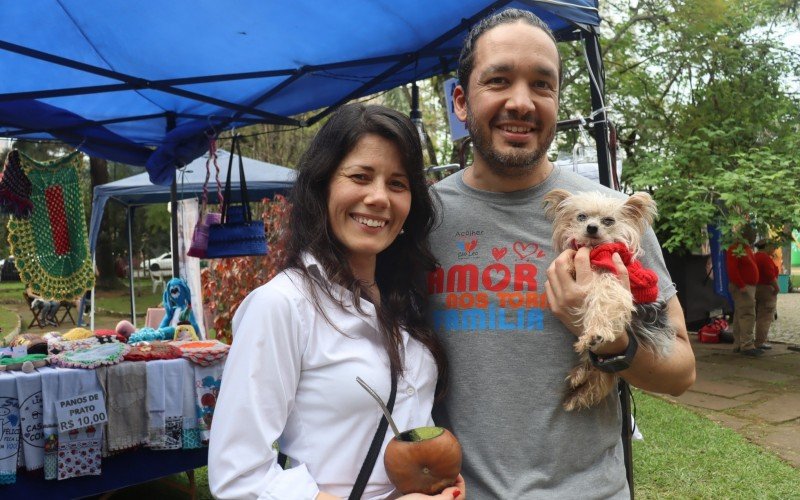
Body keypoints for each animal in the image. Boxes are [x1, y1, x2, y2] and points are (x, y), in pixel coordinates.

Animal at [544, 189, 676, 412]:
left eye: (608, 221)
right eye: (581, 217)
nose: (591, 227)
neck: (593, 250)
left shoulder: (611, 278)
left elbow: (604, 302)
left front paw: (595, 333)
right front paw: (570, 266)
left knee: (602, 373)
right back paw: (579, 379)